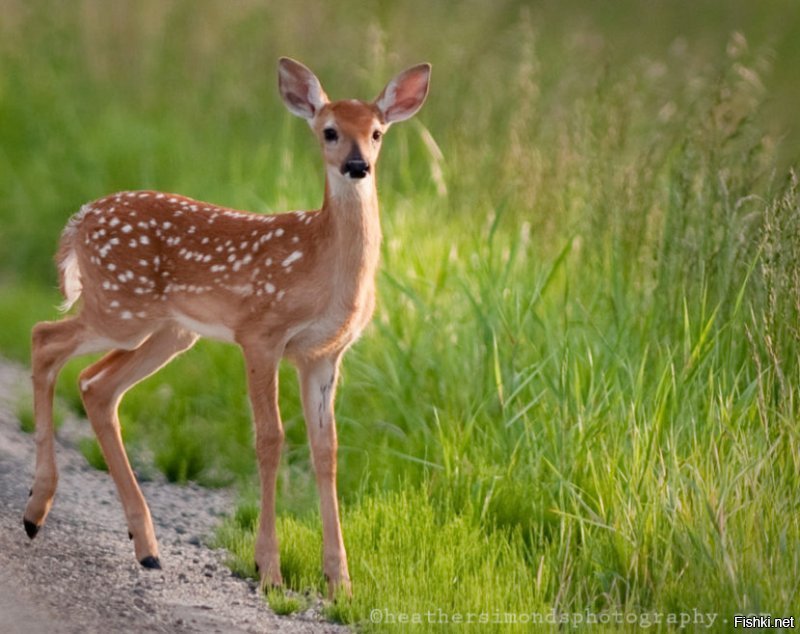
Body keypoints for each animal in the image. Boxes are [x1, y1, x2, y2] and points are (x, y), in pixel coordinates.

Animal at [25, 56, 432, 596]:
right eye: (329, 131)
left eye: (377, 133)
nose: (357, 165)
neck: (323, 267)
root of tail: (79, 219)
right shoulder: (260, 332)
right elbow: (270, 438)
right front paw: (270, 569)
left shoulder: (324, 354)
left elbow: (327, 450)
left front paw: (339, 580)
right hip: (120, 306)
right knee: (45, 339)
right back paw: (35, 511)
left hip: (169, 330)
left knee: (95, 385)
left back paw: (145, 546)